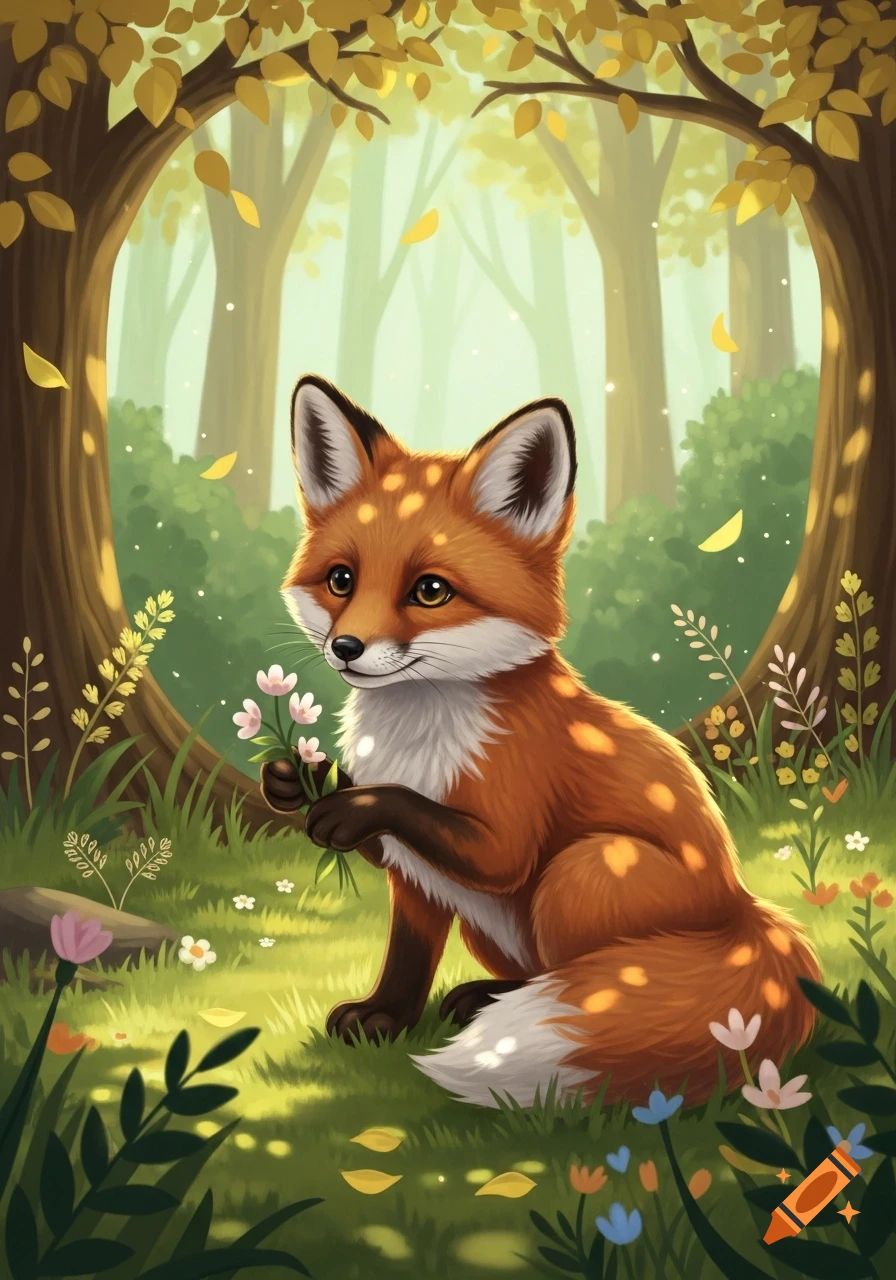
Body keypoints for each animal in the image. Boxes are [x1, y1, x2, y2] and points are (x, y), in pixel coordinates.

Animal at [261, 373, 821, 1109]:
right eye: (341, 580)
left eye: (430, 590)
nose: (346, 648)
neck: (420, 736)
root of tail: (745, 912)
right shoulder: (417, 879)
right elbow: (407, 958)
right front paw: (384, 1015)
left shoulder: (509, 824)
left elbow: (439, 825)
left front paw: (352, 803)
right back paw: (484, 1000)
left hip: (586, 869)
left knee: (576, 974)